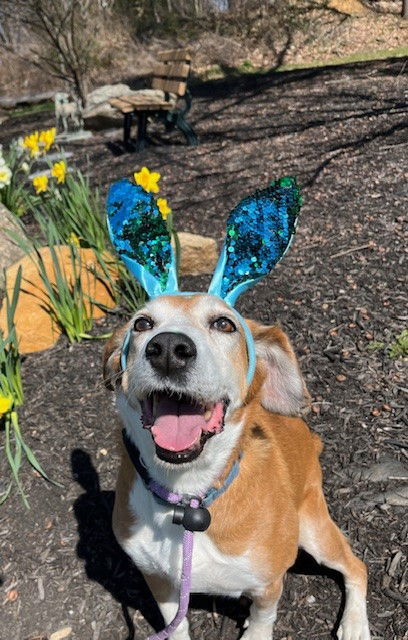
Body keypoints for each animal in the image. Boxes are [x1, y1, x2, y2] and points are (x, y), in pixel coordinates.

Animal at [103, 294, 372, 640]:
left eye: (224, 324)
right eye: (142, 324)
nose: (168, 348)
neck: (189, 494)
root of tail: (310, 439)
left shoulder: (269, 581)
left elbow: (262, 616)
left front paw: (255, 631)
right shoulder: (159, 580)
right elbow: (175, 623)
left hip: (314, 532)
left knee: (356, 566)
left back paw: (355, 624)